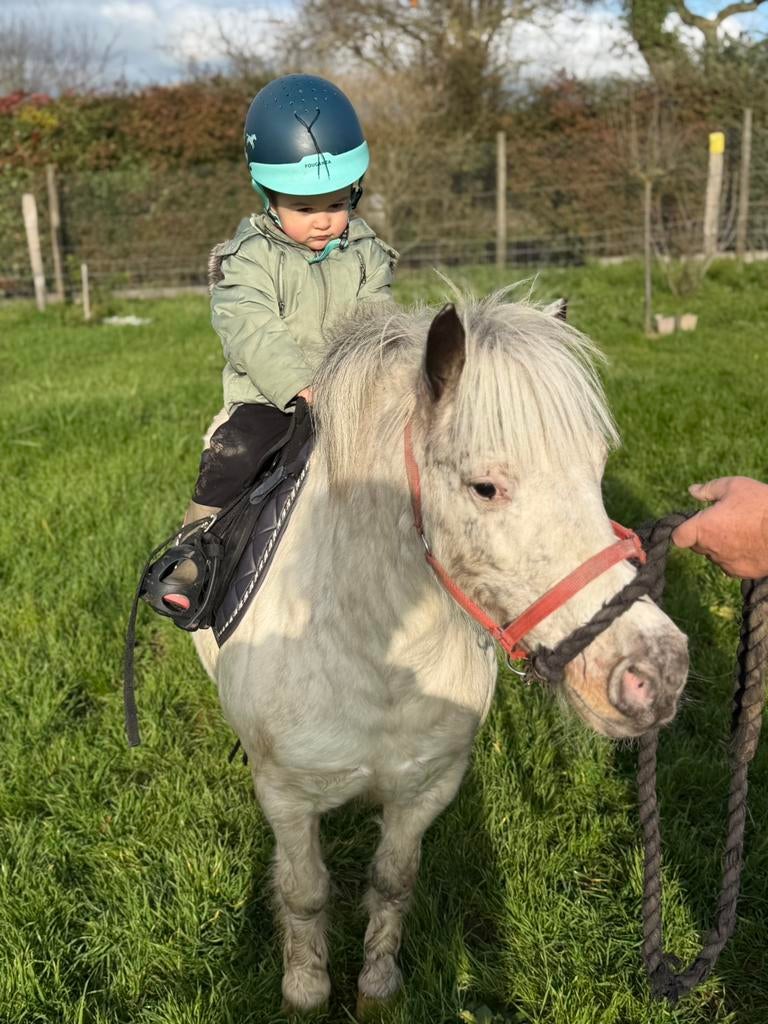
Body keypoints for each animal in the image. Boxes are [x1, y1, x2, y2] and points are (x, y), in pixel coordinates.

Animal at [192, 292, 689, 1013]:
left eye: (596, 475)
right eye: (484, 487)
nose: (656, 671)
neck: (377, 654)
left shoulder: (425, 787)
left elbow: (393, 881)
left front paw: (376, 987)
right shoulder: (285, 796)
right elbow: (304, 892)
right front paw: (306, 991)